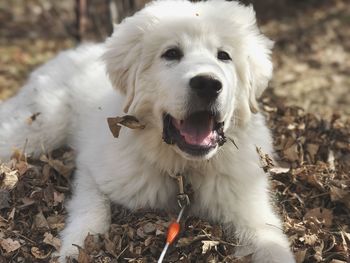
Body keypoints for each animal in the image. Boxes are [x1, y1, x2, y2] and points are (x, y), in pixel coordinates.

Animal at [0, 0, 296, 263]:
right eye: (171, 54)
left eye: (224, 55)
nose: (208, 84)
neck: (183, 170)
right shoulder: (93, 169)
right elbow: (91, 210)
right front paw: (76, 248)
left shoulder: (250, 210)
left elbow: (272, 247)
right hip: (42, 126)